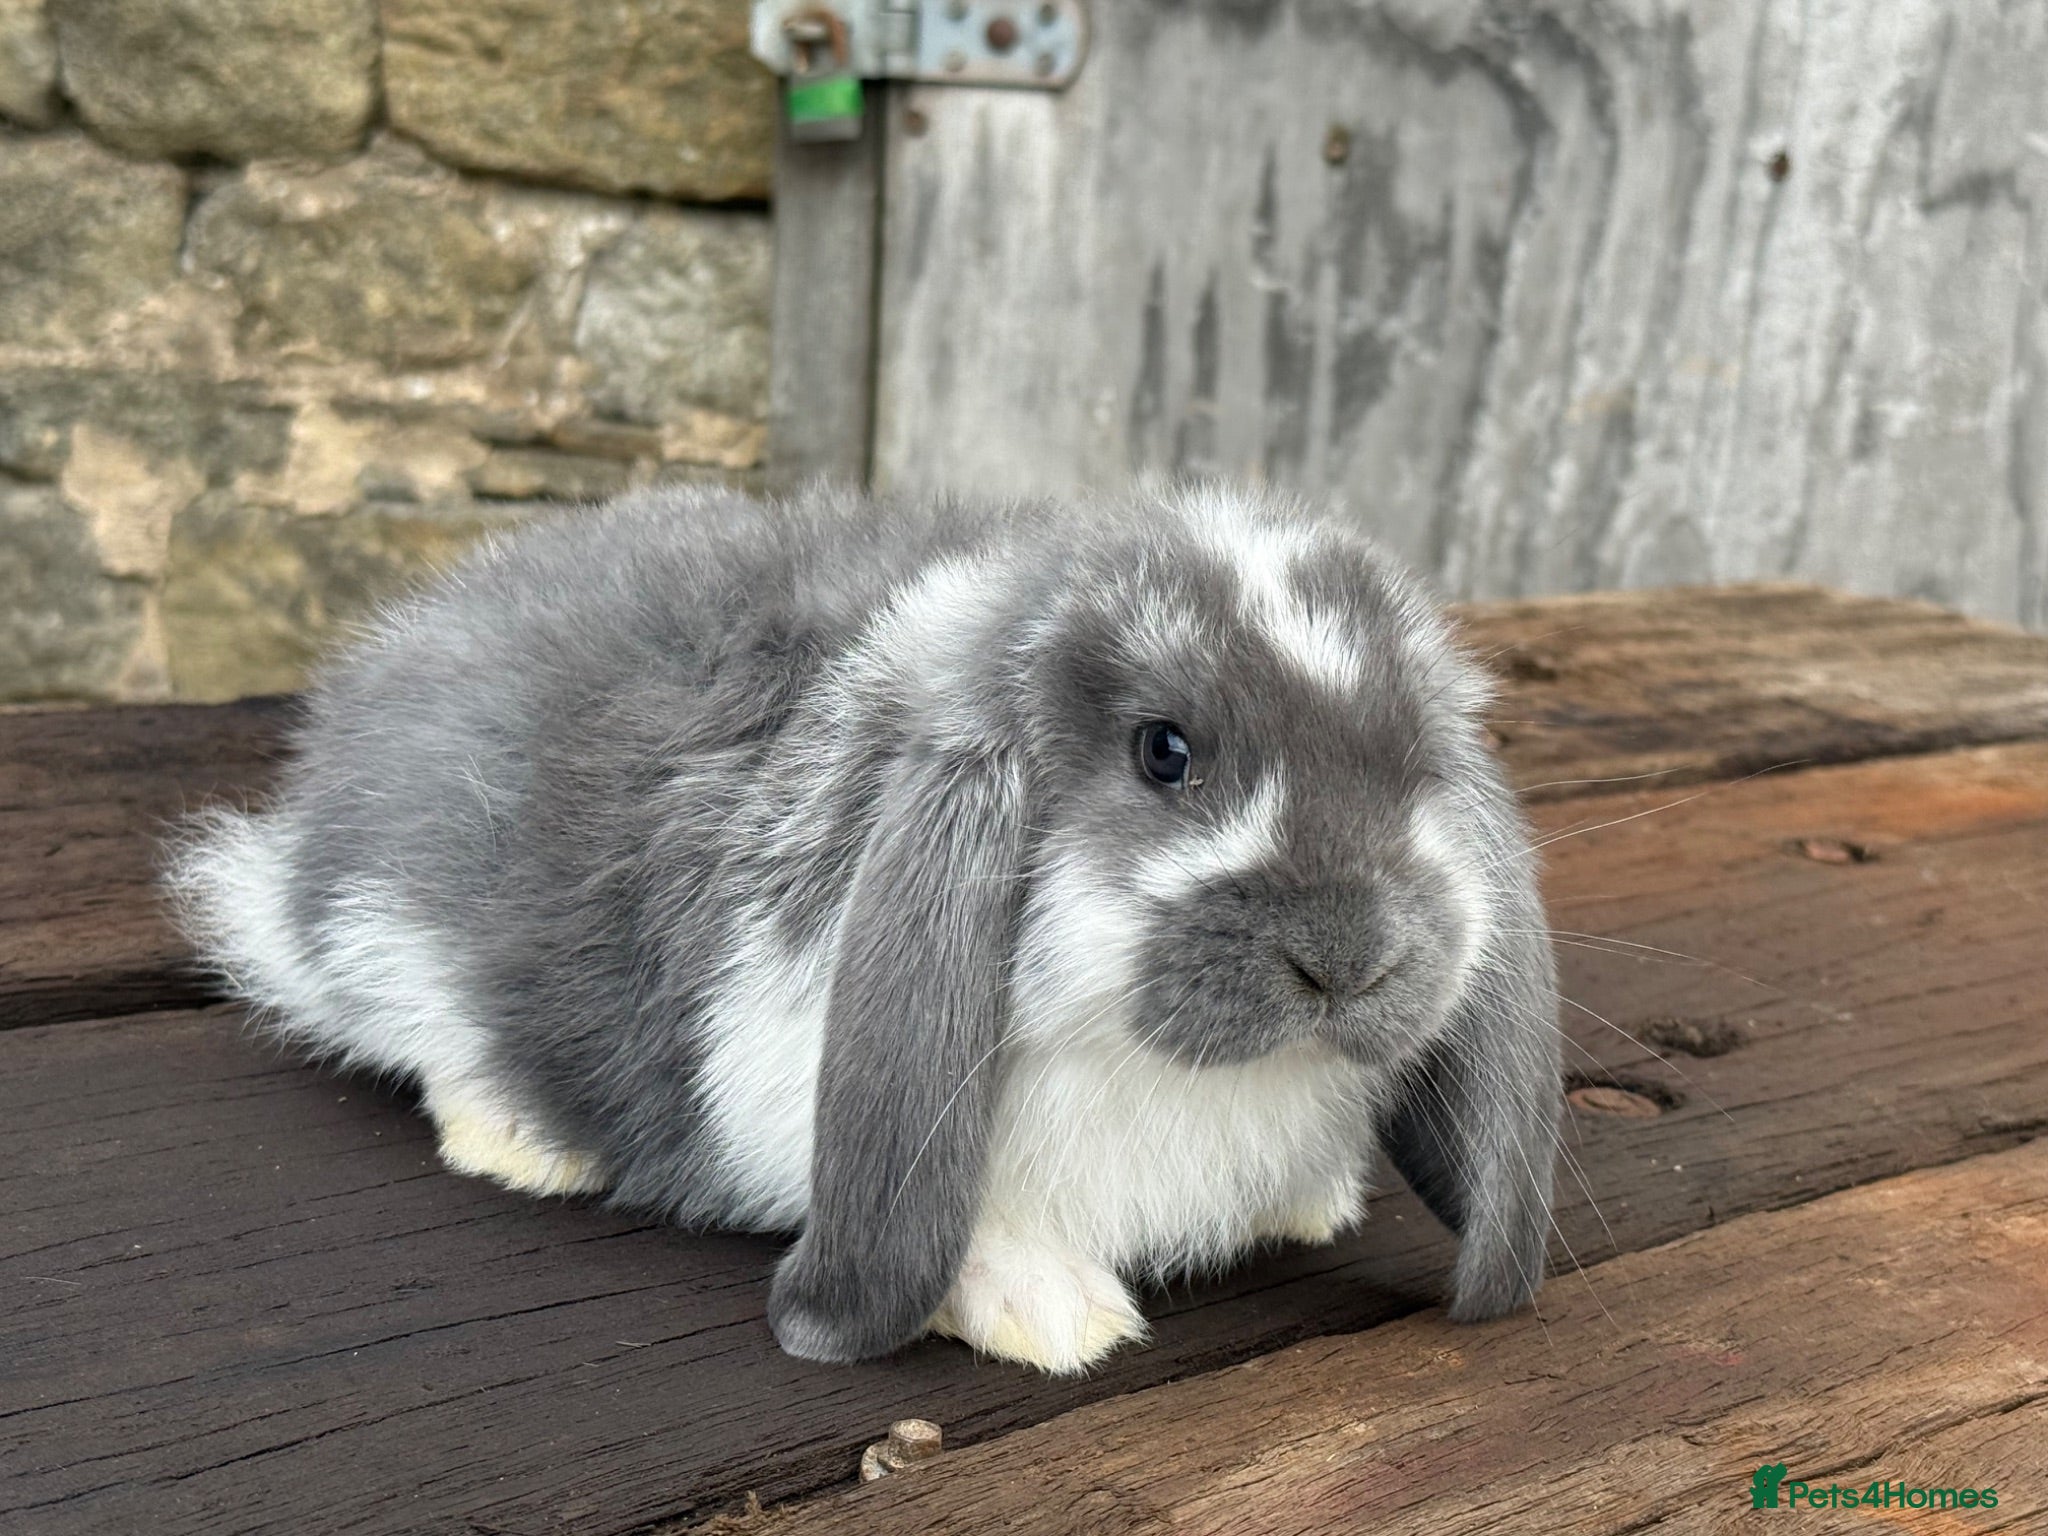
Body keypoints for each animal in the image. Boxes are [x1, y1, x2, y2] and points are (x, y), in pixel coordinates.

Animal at [168, 480, 1561, 1375]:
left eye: (1416, 762)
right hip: (400, 938)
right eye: (1163, 753)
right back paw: (524, 1143)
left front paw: (1311, 1202)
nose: (1349, 956)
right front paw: (1051, 1313)